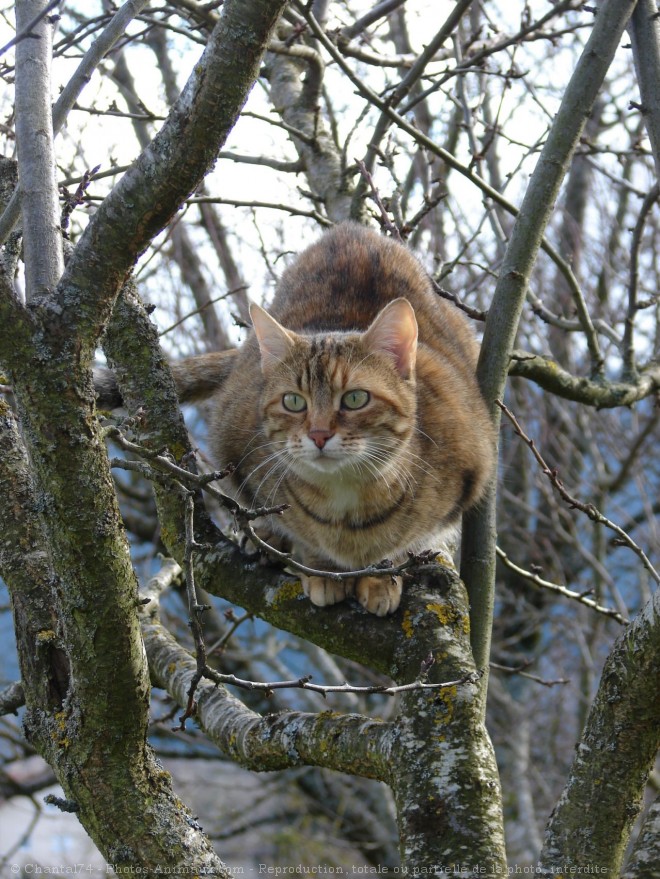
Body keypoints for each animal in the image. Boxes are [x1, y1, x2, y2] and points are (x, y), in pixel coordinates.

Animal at [100, 223, 496, 616]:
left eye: (355, 399)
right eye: (294, 402)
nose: (319, 434)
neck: (346, 500)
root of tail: (351, 230)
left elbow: (406, 542)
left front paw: (382, 576)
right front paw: (322, 569)